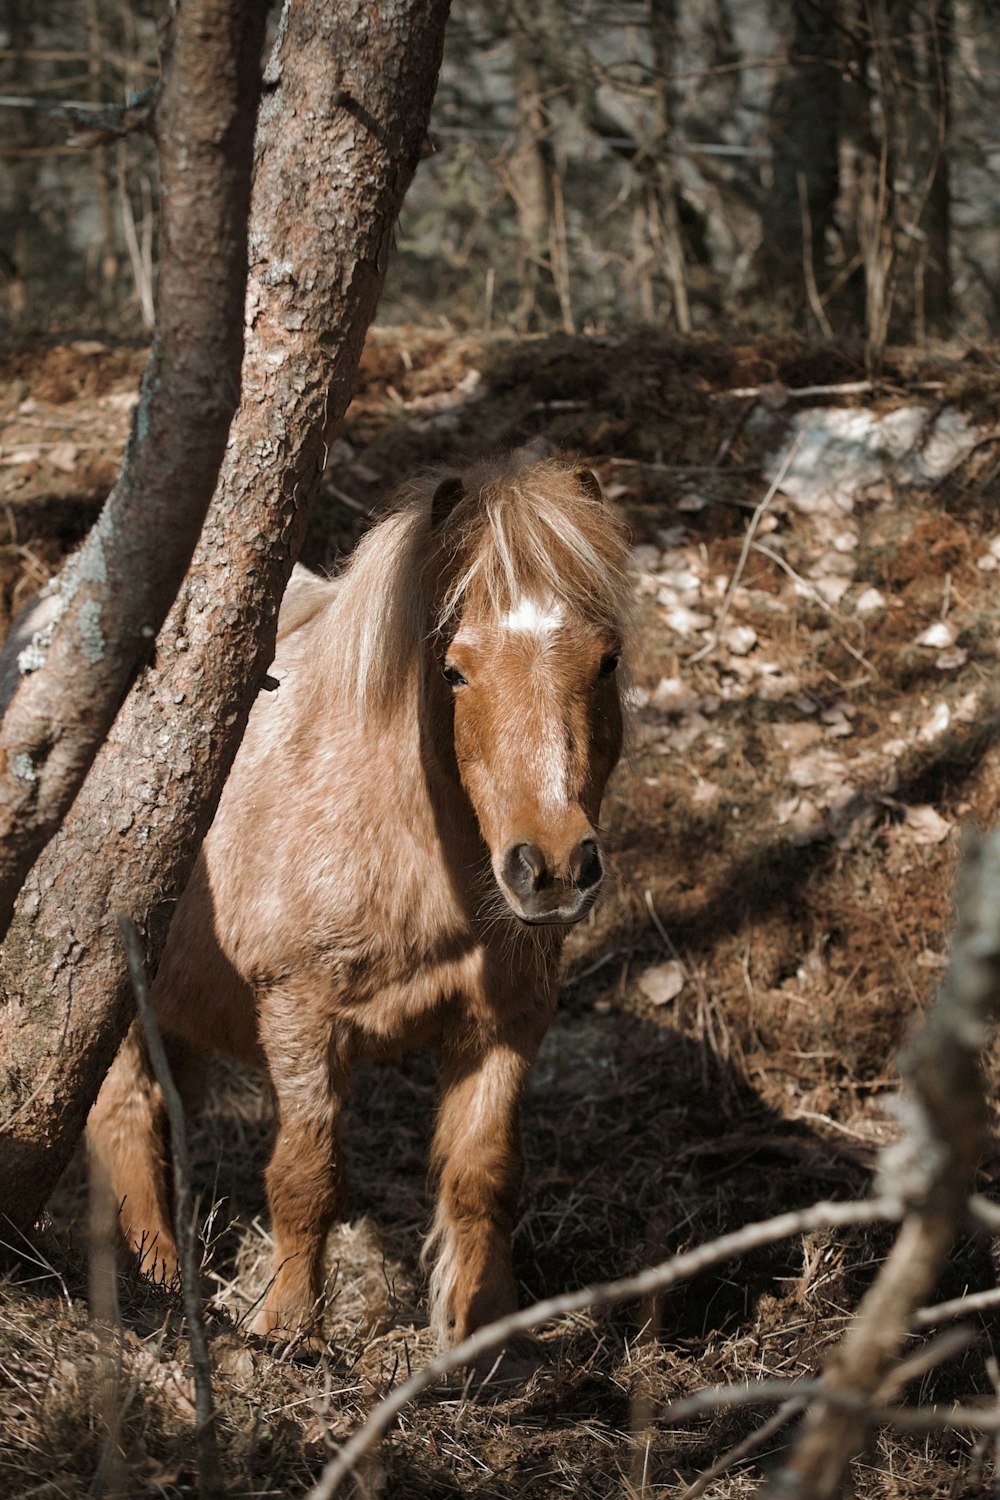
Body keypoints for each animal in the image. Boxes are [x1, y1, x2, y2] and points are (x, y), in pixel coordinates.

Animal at [88, 453, 632, 1350]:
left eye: (606, 661)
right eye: (454, 669)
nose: (553, 867)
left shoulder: (506, 1026)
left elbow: (484, 1176)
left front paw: (489, 1337)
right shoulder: (299, 1021)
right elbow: (307, 1175)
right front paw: (288, 1331)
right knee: (123, 1115)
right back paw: (157, 1279)